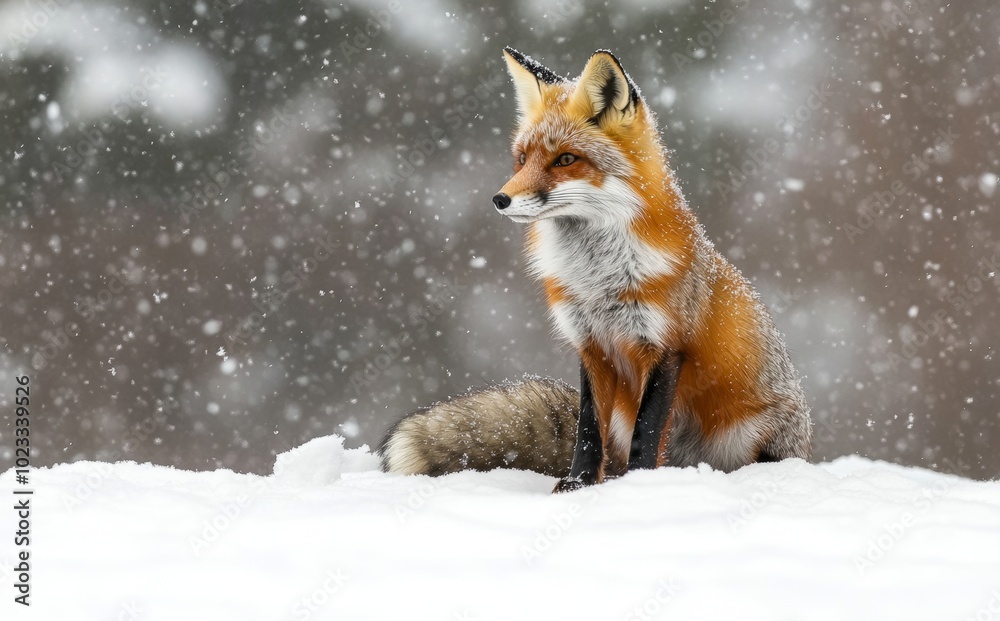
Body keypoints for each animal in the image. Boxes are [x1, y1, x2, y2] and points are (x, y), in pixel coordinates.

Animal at [378, 48, 808, 492]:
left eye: (566, 159)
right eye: (522, 159)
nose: (500, 199)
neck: (597, 280)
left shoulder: (666, 346)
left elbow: (647, 432)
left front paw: (637, 486)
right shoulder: (591, 345)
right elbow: (587, 429)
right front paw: (579, 483)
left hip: (752, 431)